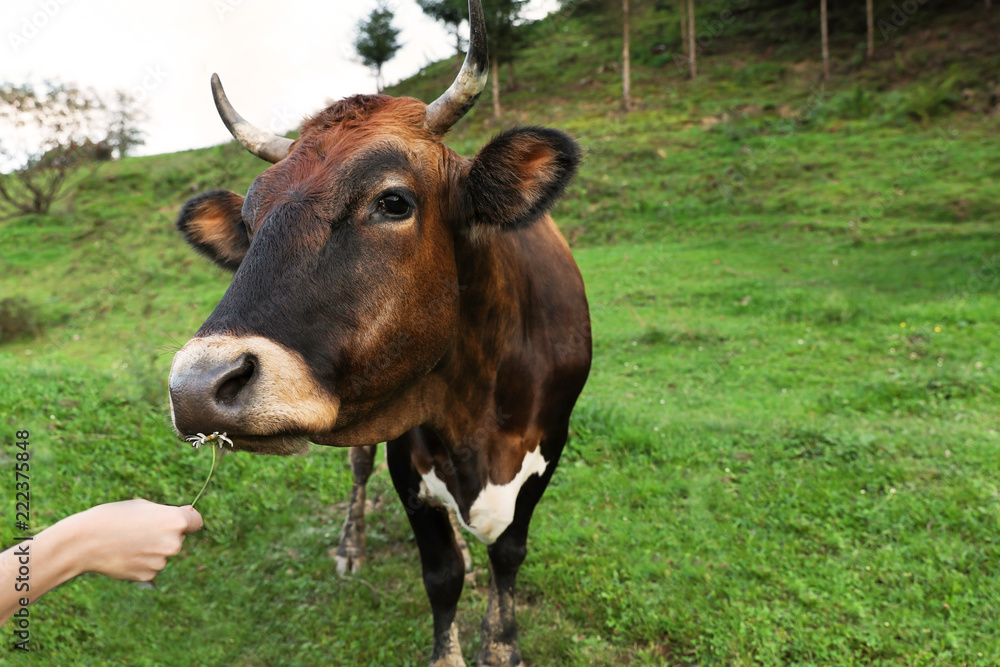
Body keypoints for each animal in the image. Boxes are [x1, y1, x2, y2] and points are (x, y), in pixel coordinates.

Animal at [170, 2, 592, 664]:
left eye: (393, 202)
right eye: (250, 221)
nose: (196, 386)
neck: (477, 398)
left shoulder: (550, 444)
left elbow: (509, 553)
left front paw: (501, 643)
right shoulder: (405, 450)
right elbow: (440, 574)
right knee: (358, 470)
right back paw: (352, 545)